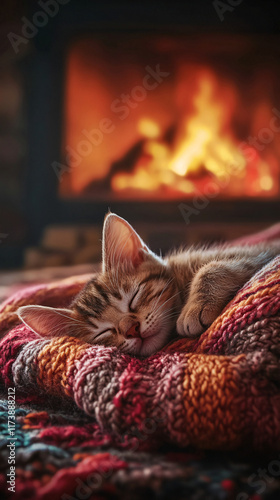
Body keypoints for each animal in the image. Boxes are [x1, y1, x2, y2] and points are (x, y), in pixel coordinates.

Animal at [17, 213, 280, 358]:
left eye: (133, 297)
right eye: (102, 332)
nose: (132, 329)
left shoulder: (256, 253)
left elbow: (211, 268)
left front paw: (196, 307)